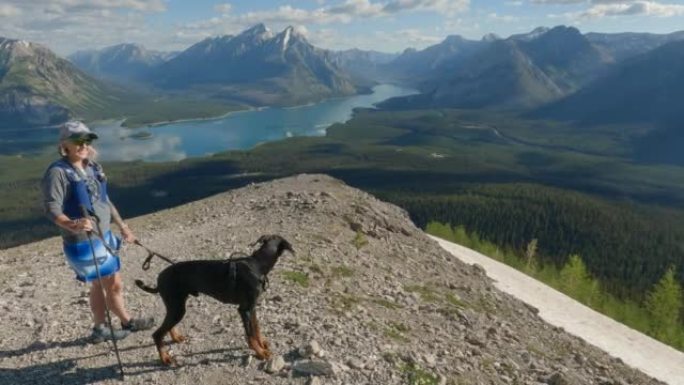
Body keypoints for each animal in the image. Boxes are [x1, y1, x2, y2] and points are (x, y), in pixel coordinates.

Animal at [134, 234, 294, 364]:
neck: (257, 265)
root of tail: (159, 279)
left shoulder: (252, 307)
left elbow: (256, 328)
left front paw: (262, 343)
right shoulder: (244, 309)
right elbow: (250, 335)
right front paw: (260, 352)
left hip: (175, 306)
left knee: (167, 326)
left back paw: (175, 338)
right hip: (177, 308)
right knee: (157, 334)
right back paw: (165, 358)